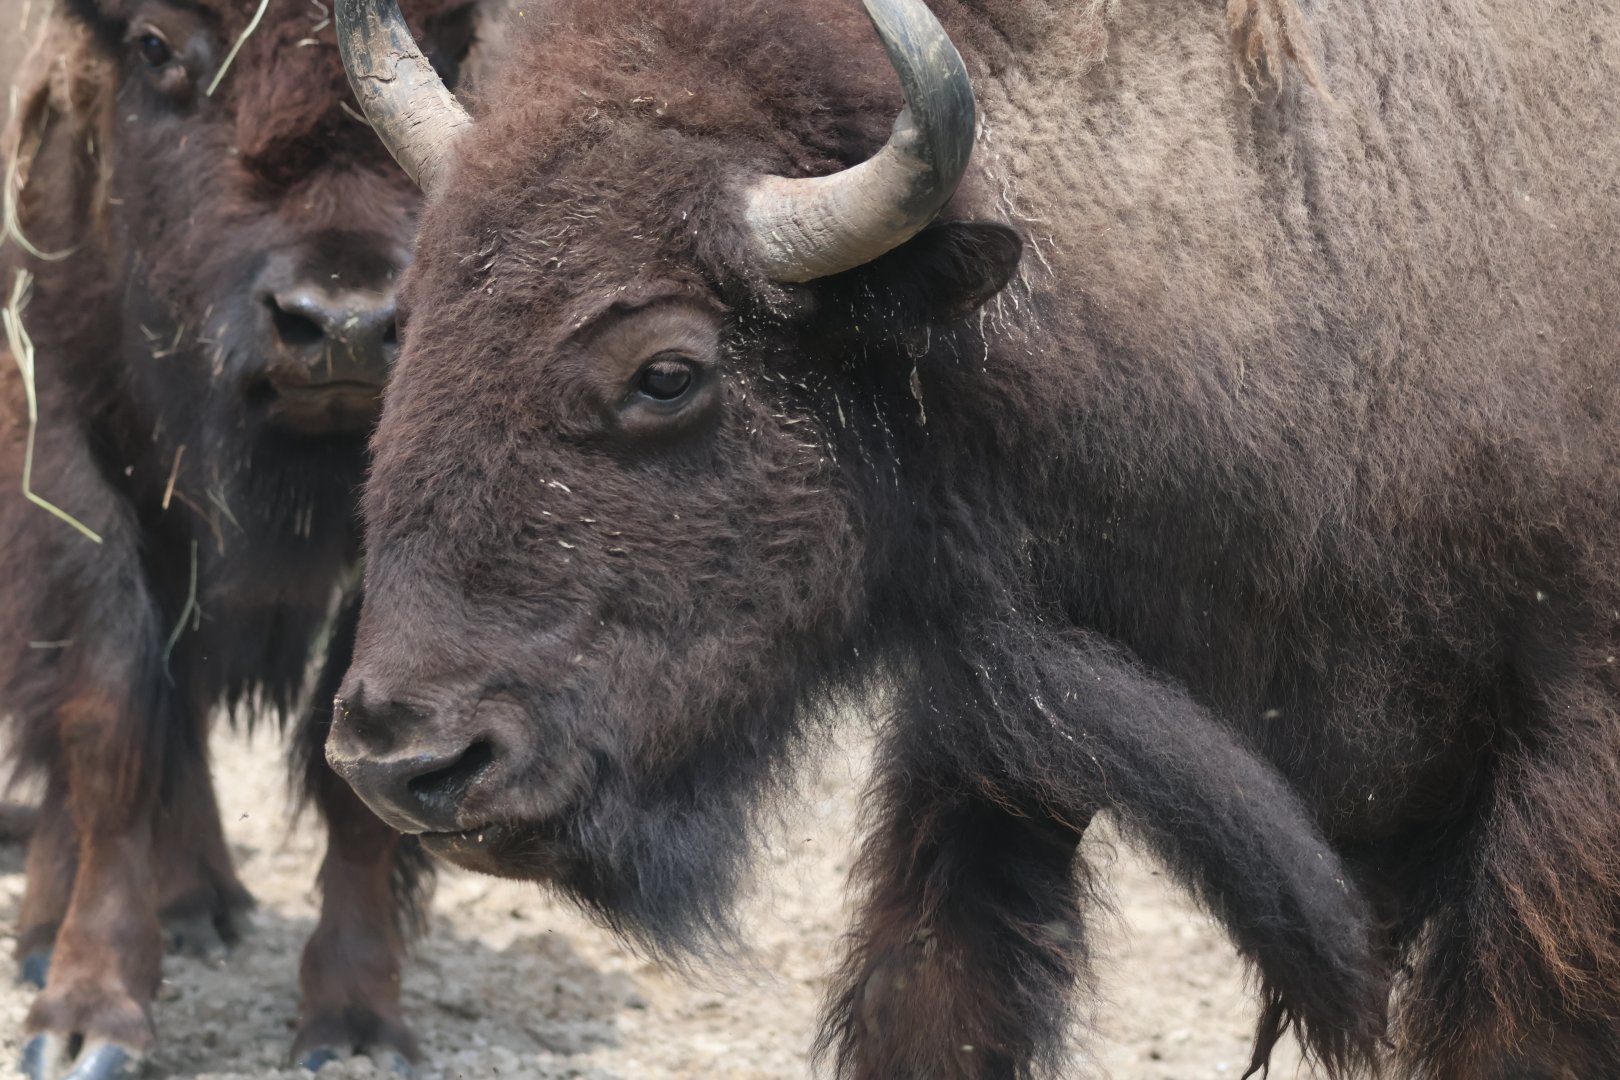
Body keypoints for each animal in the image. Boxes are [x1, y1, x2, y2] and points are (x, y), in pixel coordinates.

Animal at [0, 0, 487, 1075]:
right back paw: (52, 930)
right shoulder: (52, 444)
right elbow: (109, 710)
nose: (342, 325)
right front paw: (86, 1013)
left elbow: (361, 768)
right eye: (152, 45)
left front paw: (355, 1020)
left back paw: (200, 902)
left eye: (453, 45)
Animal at [327, 0, 1620, 1076]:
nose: (404, 759)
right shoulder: (1004, 739)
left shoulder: (1559, 801)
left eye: (667, 371)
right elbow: (936, 996)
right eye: (408, 316)